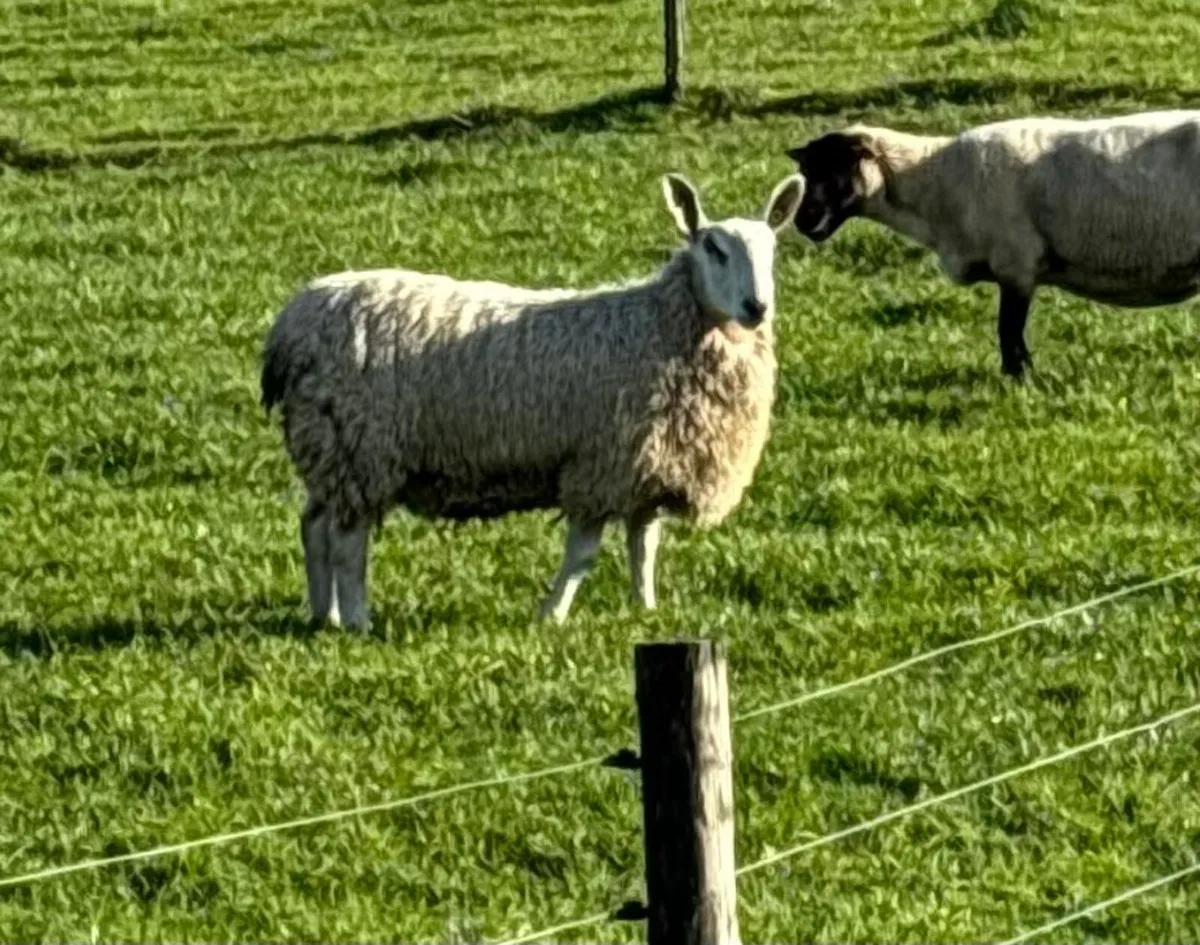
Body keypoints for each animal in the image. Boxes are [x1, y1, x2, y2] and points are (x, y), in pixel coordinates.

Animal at [261, 172, 804, 627]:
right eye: (713, 248)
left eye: (772, 250)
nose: (757, 306)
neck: (659, 323)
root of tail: (291, 326)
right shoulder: (599, 466)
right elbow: (583, 555)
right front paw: (551, 615)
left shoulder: (648, 469)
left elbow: (644, 547)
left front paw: (646, 610)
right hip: (360, 451)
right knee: (347, 542)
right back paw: (357, 622)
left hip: (329, 446)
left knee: (315, 525)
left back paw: (324, 615)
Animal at [785, 110, 1200, 377]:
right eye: (805, 170)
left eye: (836, 168)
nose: (804, 221)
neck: (932, 180)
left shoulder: (1016, 264)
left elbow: (1009, 332)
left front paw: (1019, 381)